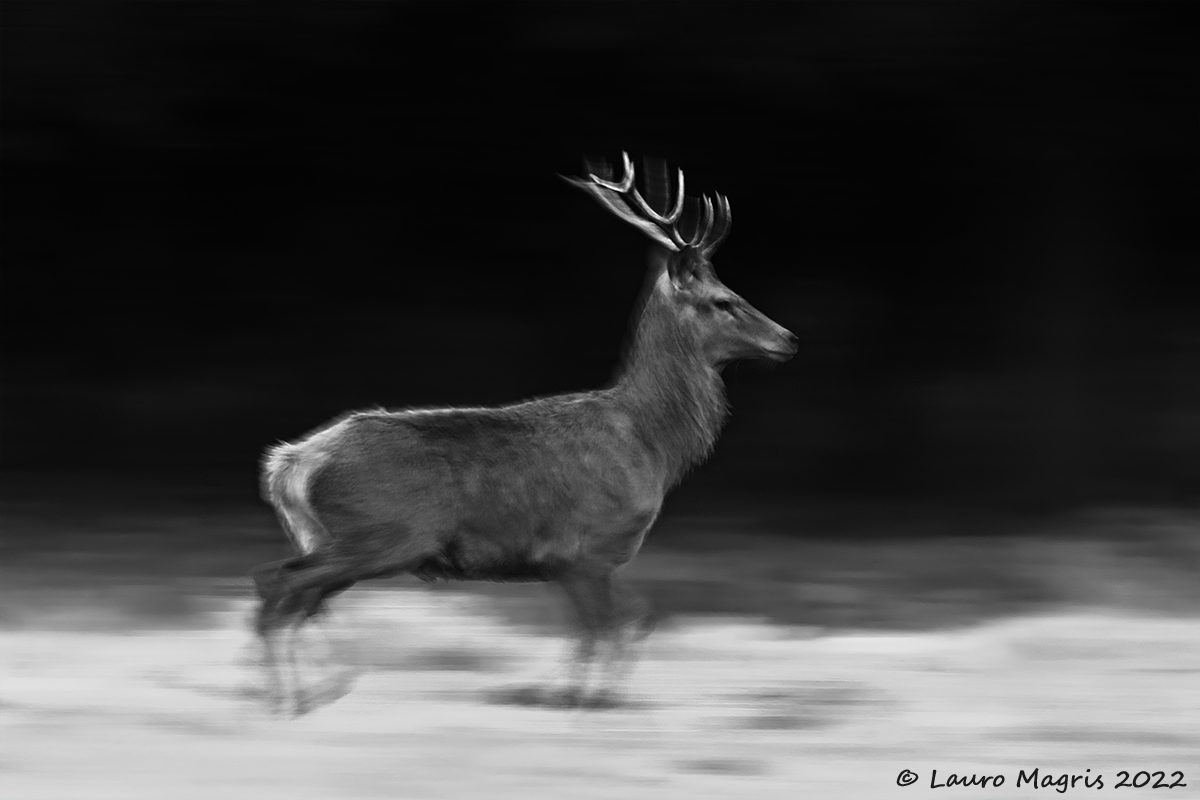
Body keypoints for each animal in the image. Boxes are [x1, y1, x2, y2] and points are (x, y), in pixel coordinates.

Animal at [250, 152, 797, 715]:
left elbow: (607, 628)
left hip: (338, 538)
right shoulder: (588, 546)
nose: (789, 339)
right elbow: (615, 627)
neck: (651, 444)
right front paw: (585, 699)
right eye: (723, 300)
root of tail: (290, 463)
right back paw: (291, 697)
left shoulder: (569, 562)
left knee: (300, 600)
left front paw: (560, 694)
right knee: (278, 584)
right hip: (381, 534)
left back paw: (318, 689)